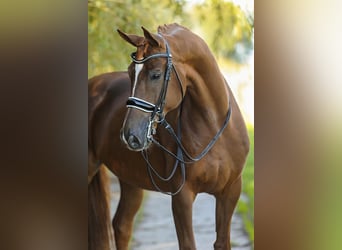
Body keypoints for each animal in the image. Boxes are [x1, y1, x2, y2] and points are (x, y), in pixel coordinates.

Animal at [88, 23, 248, 250]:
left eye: (156, 75)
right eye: (130, 73)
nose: (130, 135)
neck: (213, 125)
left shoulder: (231, 191)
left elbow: (222, 242)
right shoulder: (182, 197)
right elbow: (188, 244)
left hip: (130, 180)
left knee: (122, 225)